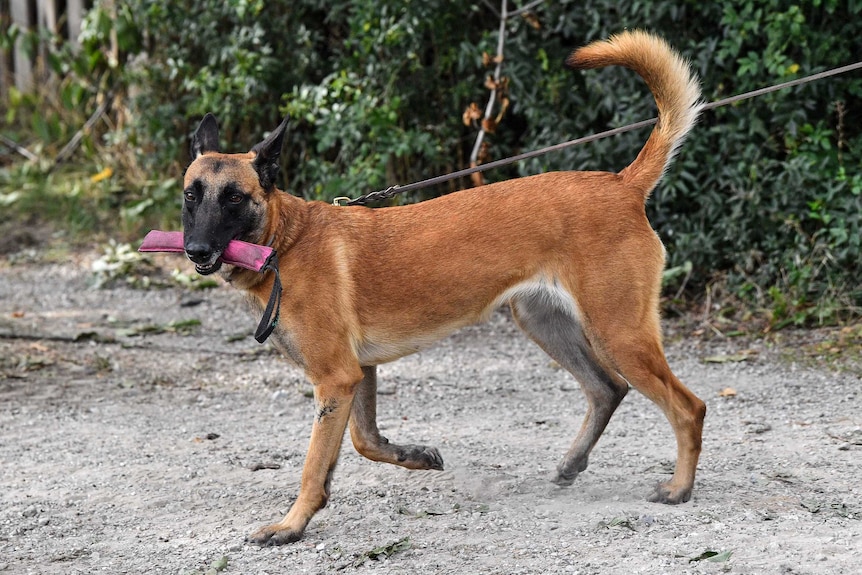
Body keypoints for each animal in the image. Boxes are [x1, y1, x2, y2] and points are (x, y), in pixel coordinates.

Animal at [182, 30, 708, 544]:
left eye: (234, 198)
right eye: (191, 196)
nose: (196, 250)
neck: (285, 240)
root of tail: (622, 184)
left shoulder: (336, 379)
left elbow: (314, 467)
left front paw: (291, 526)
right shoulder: (358, 374)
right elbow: (365, 441)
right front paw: (414, 456)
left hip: (619, 334)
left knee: (689, 407)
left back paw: (679, 488)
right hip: (544, 324)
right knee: (607, 389)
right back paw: (572, 463)